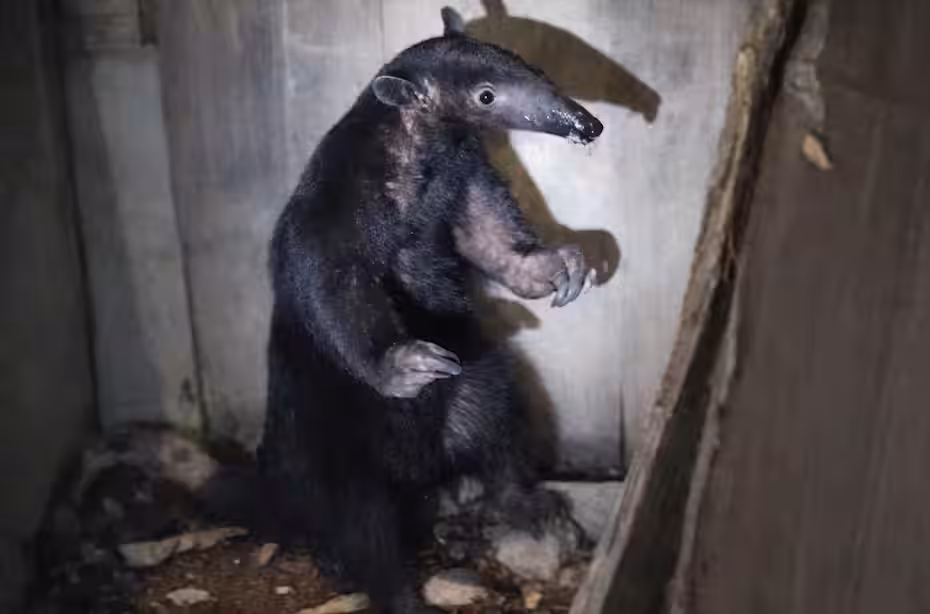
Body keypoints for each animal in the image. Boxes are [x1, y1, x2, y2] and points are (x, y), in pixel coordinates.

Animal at [256, 7, 604, 614]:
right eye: (486, 96)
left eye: (531, 65)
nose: (589, 126)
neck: (417, 151)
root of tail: (420, 469)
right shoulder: (333, 205)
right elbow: (334, 280)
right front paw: (407, 364)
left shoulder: (465, 172)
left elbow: (491, 239)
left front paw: (563, 269)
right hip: (331, 442)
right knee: (363, 522)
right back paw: (394, 589)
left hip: (474, 383)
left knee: (495, 419)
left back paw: (524, 503)